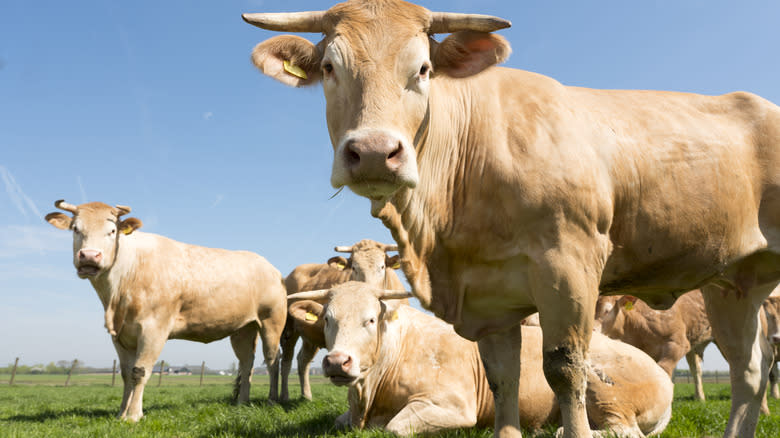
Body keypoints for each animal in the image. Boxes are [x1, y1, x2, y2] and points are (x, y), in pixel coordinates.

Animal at [44, 201, 286, 420]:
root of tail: (270, 267)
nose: (89, 256)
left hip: (272, 320)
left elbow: (139, 371)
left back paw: (272, 400)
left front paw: (133, 415)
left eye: (112, 231)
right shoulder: (120, 334)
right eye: (76, 228)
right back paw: (242, 402)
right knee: (247, 363)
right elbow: (125, 373)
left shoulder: (154, 328)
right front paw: (121, 413)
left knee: (273, 360)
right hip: (243, 328)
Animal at [280, 240, 406, 400]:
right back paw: (282, 396)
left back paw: (307, 396)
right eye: (354, 267)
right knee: (285, 361)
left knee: (303, 360)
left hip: (310, 337)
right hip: (287, 330)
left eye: (382, 266)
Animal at [286, 282, 672, 436]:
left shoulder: (453, 405)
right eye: (327, 319)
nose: (338, 362)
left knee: (625, 431)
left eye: (369, 320)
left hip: (604, 391)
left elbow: (395, 427)